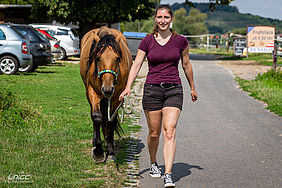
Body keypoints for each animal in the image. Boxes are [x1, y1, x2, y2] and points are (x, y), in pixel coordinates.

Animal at [79, 26, 132, 163]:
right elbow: (97, 117)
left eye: (118, 58)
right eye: (98, 58)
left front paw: (110, 151)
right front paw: (98, 151)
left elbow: (111, 121)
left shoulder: (117, 95)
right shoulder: (92, 91)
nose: (107, 90)